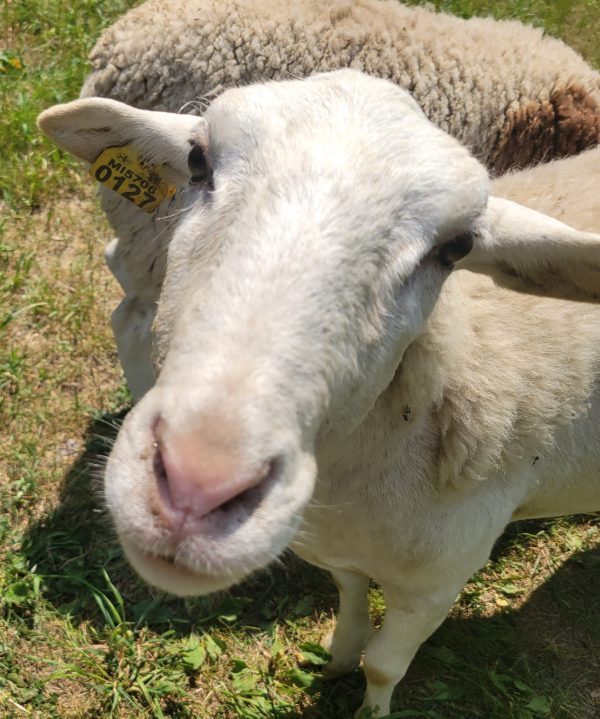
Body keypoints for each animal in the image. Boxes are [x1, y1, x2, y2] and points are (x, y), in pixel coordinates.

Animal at [39, 71, 600, 719]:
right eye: (198, 161)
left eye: (456, 248)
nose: (195, 489)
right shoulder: (340, 548)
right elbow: (350, 599)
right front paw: (336, 659)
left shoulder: (440, 581)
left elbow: (383, 665)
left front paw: (369, 706)